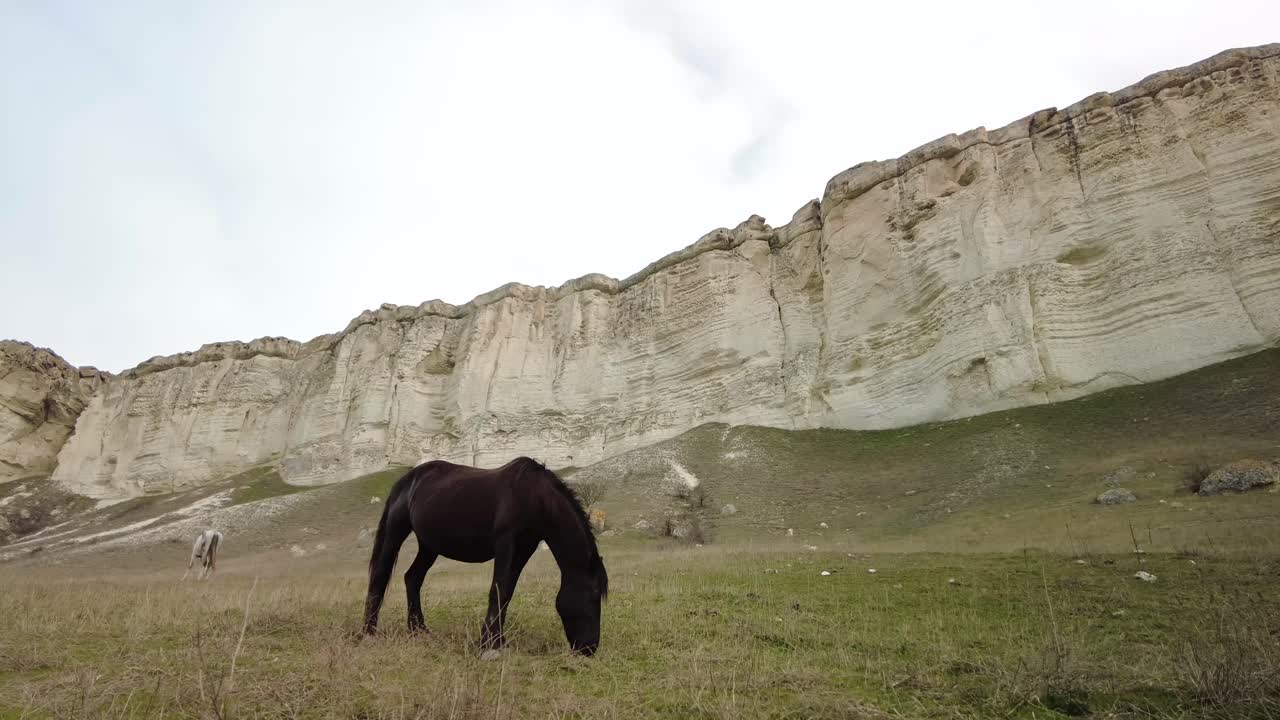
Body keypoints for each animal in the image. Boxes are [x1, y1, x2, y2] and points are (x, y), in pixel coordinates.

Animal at [363, 457, 608, 656]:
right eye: (592, 596)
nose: (589, 649)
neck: (533, 497)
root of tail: (406, 480)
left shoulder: (524, 549)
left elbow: (507, 593)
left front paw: (498, 640)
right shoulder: (506, 543)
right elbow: (497, 591)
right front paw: (489, 644)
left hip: (429, 546)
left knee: (412, 578)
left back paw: (418, 630)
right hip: (396, 532)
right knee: (380, 576)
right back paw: (369, 631)